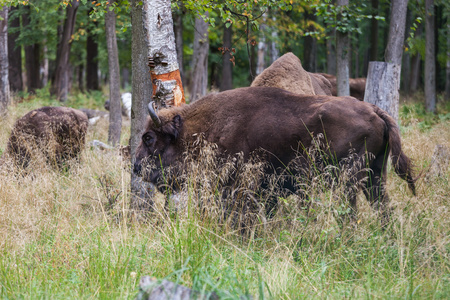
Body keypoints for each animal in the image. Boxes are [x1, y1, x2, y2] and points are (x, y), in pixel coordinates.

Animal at [134, 86, 414, 220]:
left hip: (349, 181)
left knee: (350, 214)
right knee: (384, 209)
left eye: (148, 138)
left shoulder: (238, 187)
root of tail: (375, 111)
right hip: (375, 177)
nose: (135, 166)